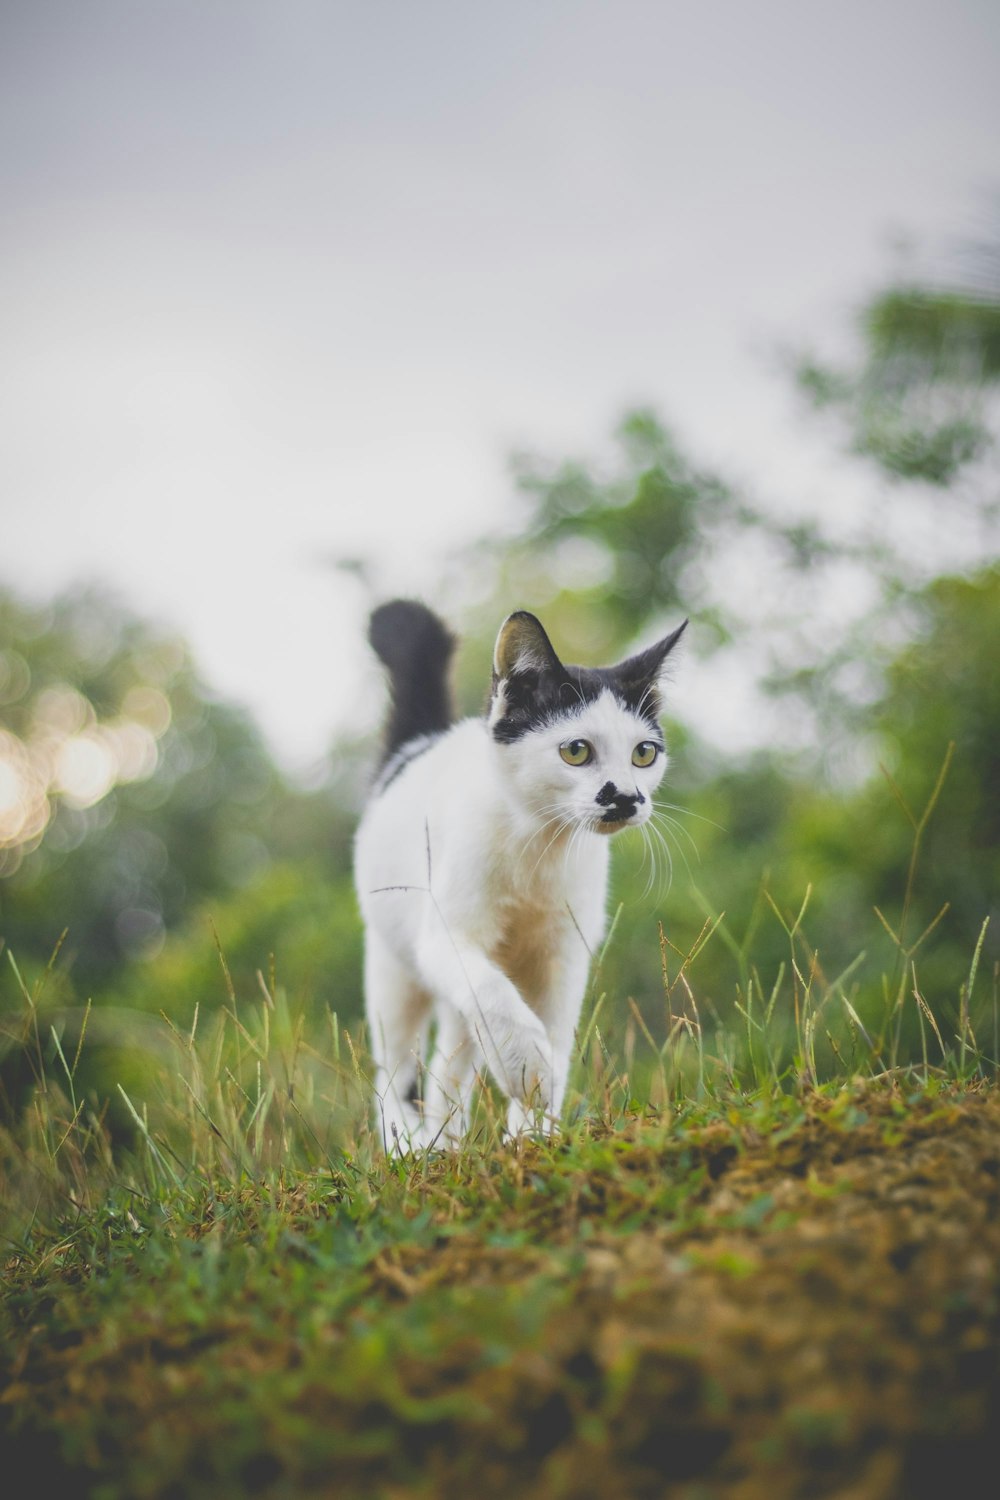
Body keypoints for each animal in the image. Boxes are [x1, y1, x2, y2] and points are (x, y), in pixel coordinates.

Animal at [353, 597, 689, 1146]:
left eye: (644, 753)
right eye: (576, 750)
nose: (626, 797)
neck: (539, 851)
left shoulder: (565, 955)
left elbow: (553, 1034)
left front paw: (533, 1133)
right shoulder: (445, 938)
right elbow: (493, 995)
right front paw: (527, 1068)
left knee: (450, 1063)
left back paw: (447, 1141)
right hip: (393, 968)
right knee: (395, 1071)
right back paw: (410, 1146)